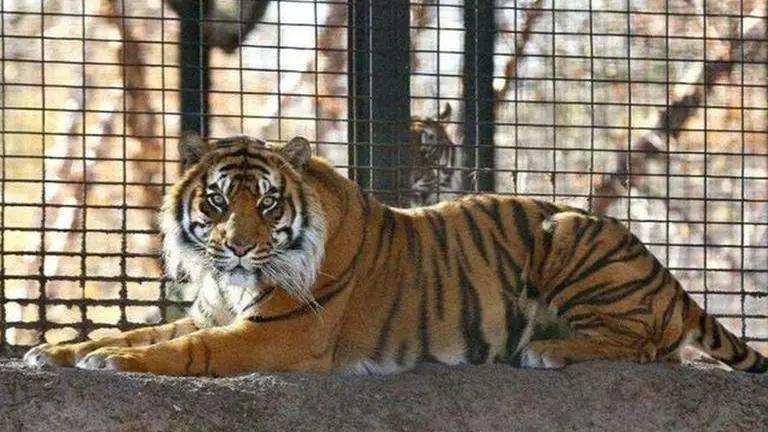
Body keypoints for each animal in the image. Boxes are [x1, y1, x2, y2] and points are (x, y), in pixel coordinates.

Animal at [24, 133, 768, 376]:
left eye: (266, 203)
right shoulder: (211, 310)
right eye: (216, 201)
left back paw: (548, 349)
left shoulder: (278, 334)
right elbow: (139, 330)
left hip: (567, 232)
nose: (237, 247)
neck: (228, 282)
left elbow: (182, 352)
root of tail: (671, 281)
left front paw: (111, 363)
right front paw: (57, 350)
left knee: (651, 347)